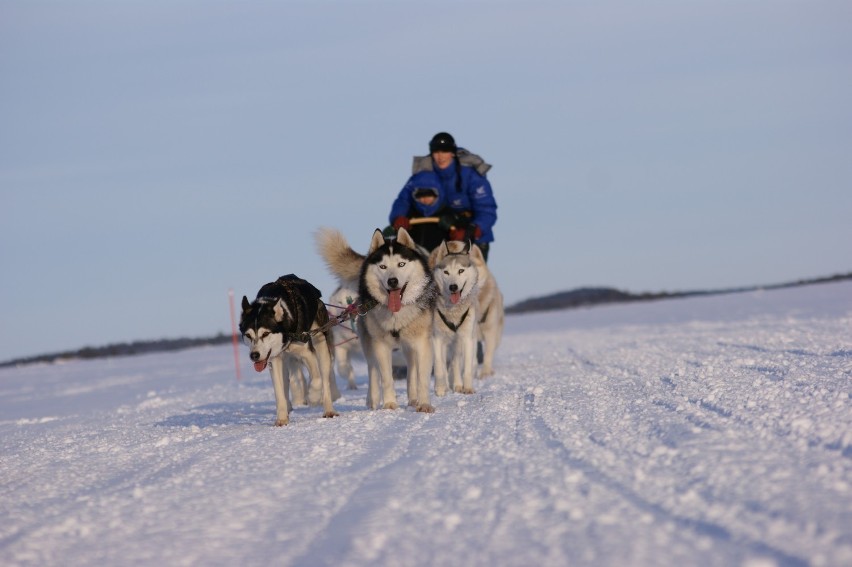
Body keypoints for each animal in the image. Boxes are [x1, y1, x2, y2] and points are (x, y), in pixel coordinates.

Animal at [240, 276, 340, 426]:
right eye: (248, 335)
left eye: (265, 334)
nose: (254, 355)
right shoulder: (274, 360)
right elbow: (279, 391)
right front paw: (281, 418)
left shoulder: (308, 354)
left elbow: (316, 379)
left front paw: (313, 397)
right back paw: (288, 408)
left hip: (321, 344)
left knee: (324, 379)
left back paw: (328, 409)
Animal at [316, 226, 436, 412]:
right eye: (383, 266)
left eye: (401, 264)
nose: (392, 281)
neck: (396, 315)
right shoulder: (381, 345)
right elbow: (385, 378)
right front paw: (389, 403)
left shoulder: (422, 343)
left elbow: (421, 377)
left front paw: (424, 404)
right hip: (369, 342)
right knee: (373, 370)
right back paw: (372, 400)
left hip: (408, 346)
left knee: (411, 369)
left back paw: (413, 398)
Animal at [430, 240, 482, 394]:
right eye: (446, 272)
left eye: (461, 271)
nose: (453, 287)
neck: (453, 312)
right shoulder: (437, 338)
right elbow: (439, 366)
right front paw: (440, 388)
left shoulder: (467, 339)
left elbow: (466, 368)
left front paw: (468, 388)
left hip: (460, 342)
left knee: (456, 363)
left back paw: (458, 385)